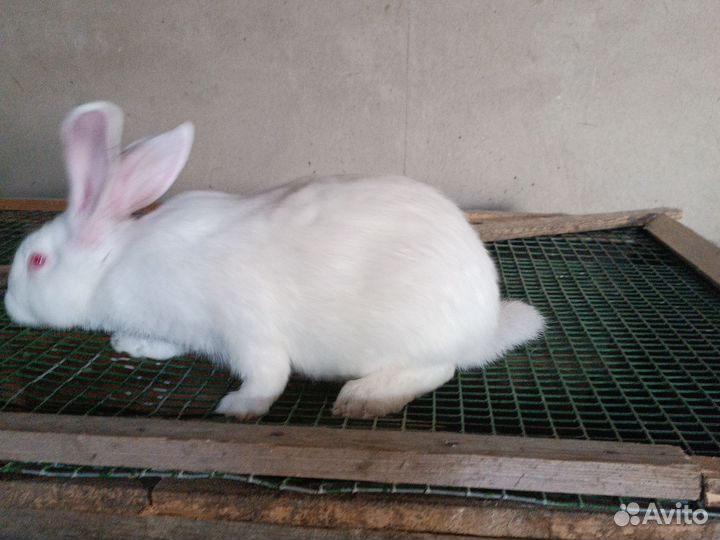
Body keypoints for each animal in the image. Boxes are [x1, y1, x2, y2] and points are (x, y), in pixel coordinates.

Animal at [4, 101, 545, 419]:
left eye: (36, 261)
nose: (8, 305)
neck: (113, 264)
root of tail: (485, 324)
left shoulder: (245, 329)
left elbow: (269, 375)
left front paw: (237, 407)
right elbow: (165, 343)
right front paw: (130, 343)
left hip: (411, 336)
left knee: (438, 370)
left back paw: (362, 399)